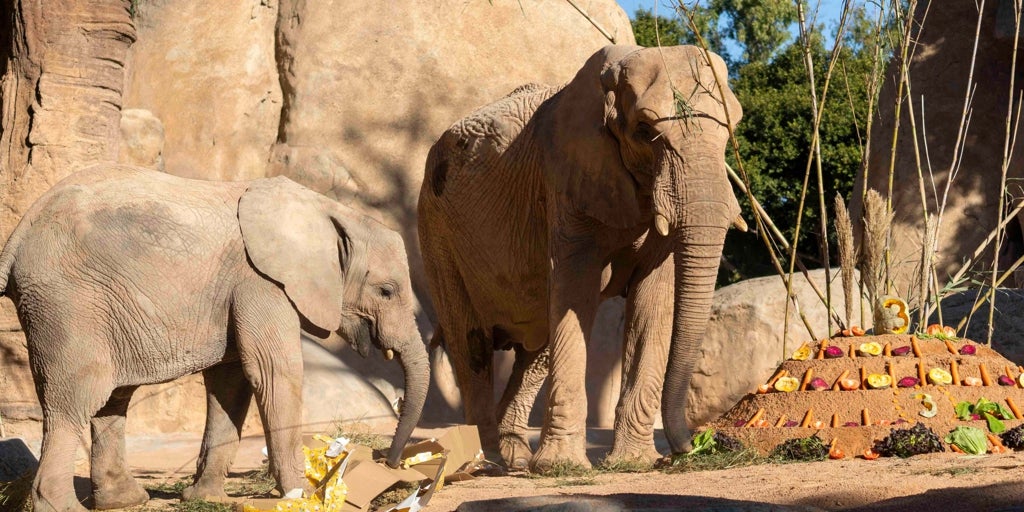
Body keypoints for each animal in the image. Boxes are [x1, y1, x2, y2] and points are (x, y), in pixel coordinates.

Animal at [0, 164, 428, 512]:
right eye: (386, 291)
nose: (389, 463)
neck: (329, 210)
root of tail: (17, 235)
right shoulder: (260, 282)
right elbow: (273, 373)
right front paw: (305, 495)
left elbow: (232, 383)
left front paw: (207, 499)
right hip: (68, 303)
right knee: (76, 398)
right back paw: (62, 506)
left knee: (112, 398)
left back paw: (125, 500)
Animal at [417, 44, 743, 471]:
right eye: (644, 131)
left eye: (731, 129)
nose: (690, 446)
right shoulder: (566, 179)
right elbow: (576, 288)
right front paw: (562, 467)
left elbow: (653, 298)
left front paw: (632, 463)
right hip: (436, 228)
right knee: (470, 342)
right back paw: (486, 461)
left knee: (536, 344)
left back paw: (515, 459)